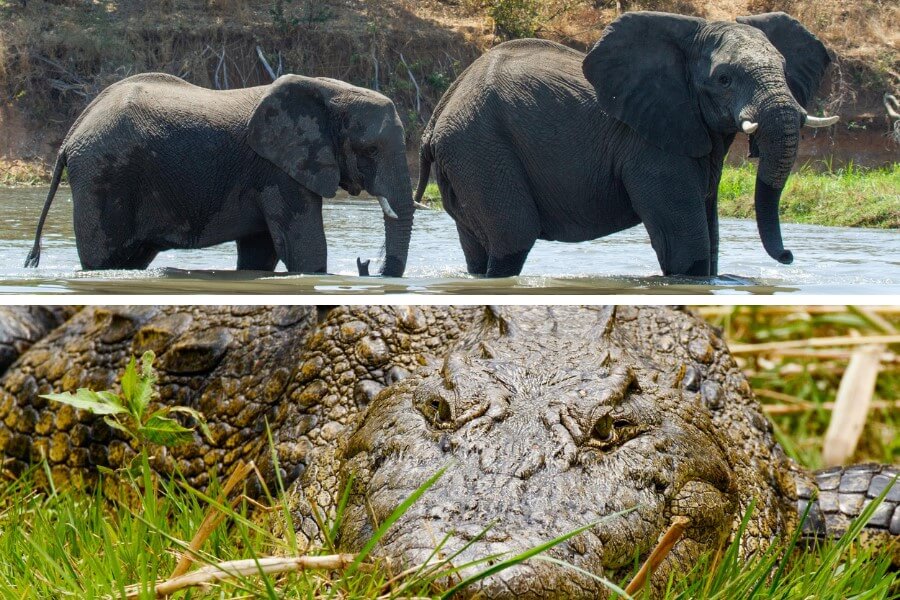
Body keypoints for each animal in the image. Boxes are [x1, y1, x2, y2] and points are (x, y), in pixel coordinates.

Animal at [24, 72, 414, 276]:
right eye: (371, 150)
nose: (365, 264)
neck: (330, 91)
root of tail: (71, 134)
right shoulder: (277, 171)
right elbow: (304, 250)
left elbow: (261, 253)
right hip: (103, 176)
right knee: (105, 259)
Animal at [414, 11, 839, 277]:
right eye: (724, 79)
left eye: (783, 69)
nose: (788, 256)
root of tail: (435, 118)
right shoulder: (650, 148)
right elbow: (688, 249)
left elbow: (711, 235)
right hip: (480, 148)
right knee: (513, 238)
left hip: (467, 155)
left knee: (478, 247)